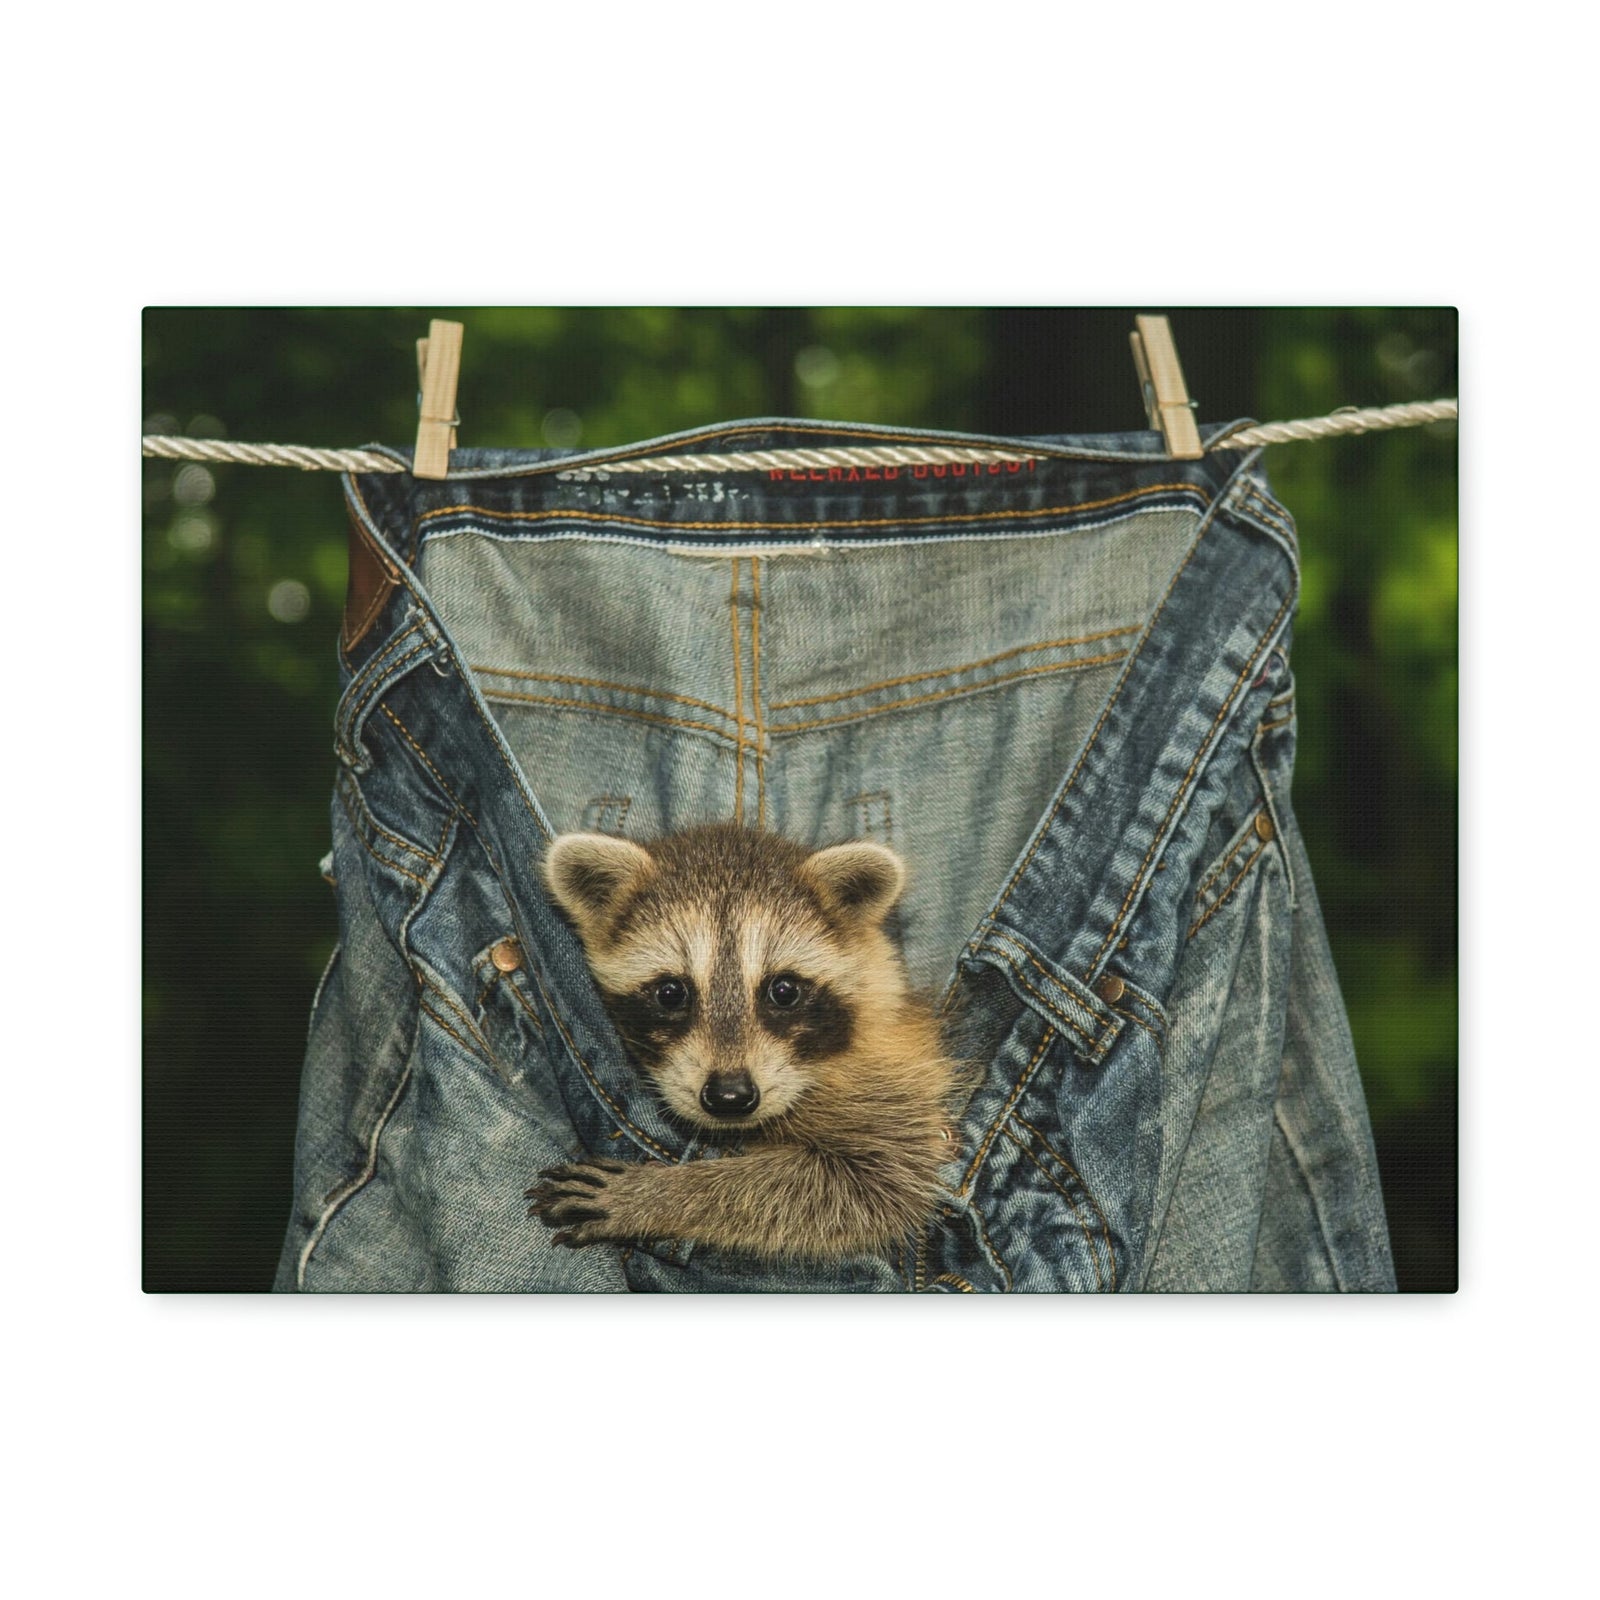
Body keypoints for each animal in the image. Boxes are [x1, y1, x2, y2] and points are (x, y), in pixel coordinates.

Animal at [525, 821, 960, 1261]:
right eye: (670, 993)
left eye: (784, 991)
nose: (729, 1097)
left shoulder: (891, 1082)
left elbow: (871, 1183)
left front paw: (658, 1195)